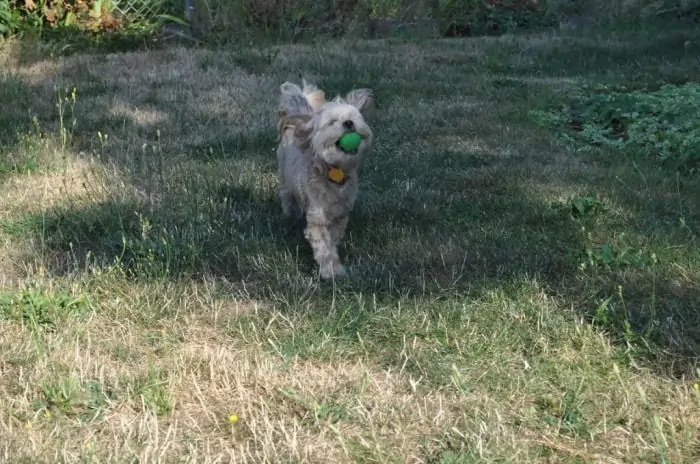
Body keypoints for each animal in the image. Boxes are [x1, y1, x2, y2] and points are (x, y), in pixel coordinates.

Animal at [274, 79, 378, 280]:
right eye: (332, 122)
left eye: (354, 117)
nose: (348, 123)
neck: (334, 171)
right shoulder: (318, 218)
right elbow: (324, 246)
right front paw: (332, 271)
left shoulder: (340, 214)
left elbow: (334, 236)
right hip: (285, 179)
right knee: (287, 197)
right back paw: (289, 216)